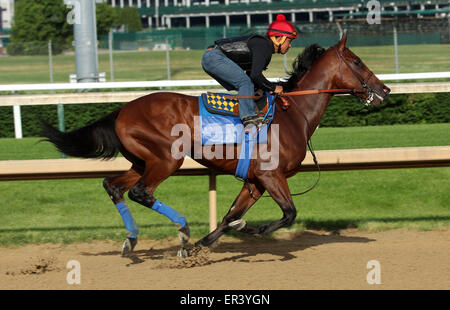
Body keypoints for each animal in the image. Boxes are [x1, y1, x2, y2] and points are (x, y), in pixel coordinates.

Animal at [42, 34, 390, 256]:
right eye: (357, 61)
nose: (384, 90)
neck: (293, 113)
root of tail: (122, 110)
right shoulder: (271, 175)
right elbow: (288, 213)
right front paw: (249, 230)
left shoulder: (255, 182)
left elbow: (228, 216)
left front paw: (202, 246)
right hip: (166, 159)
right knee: (141, 192)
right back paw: (182, 229)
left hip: (142, 161)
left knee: (113, 186)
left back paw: (133, 239)